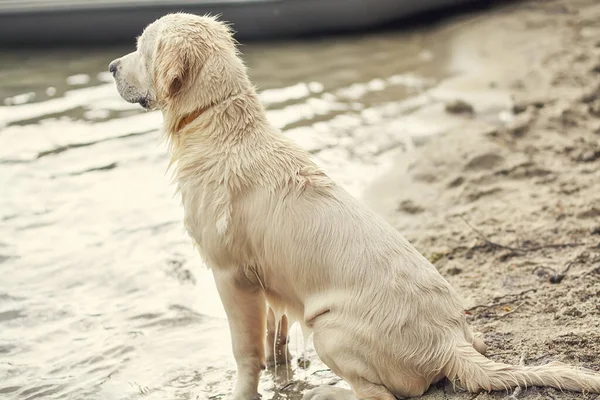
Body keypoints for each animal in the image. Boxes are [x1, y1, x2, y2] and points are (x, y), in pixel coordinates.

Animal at [109, 13, 600, 400]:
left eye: (141, 48)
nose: (111, 66)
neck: (218, 121)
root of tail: (449, 343)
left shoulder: (230, 275)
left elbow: (245, 352)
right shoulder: (267, 279)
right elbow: (275, 335)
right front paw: (281, 374)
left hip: (329, 328)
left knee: (379, 395)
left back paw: (327, 392)